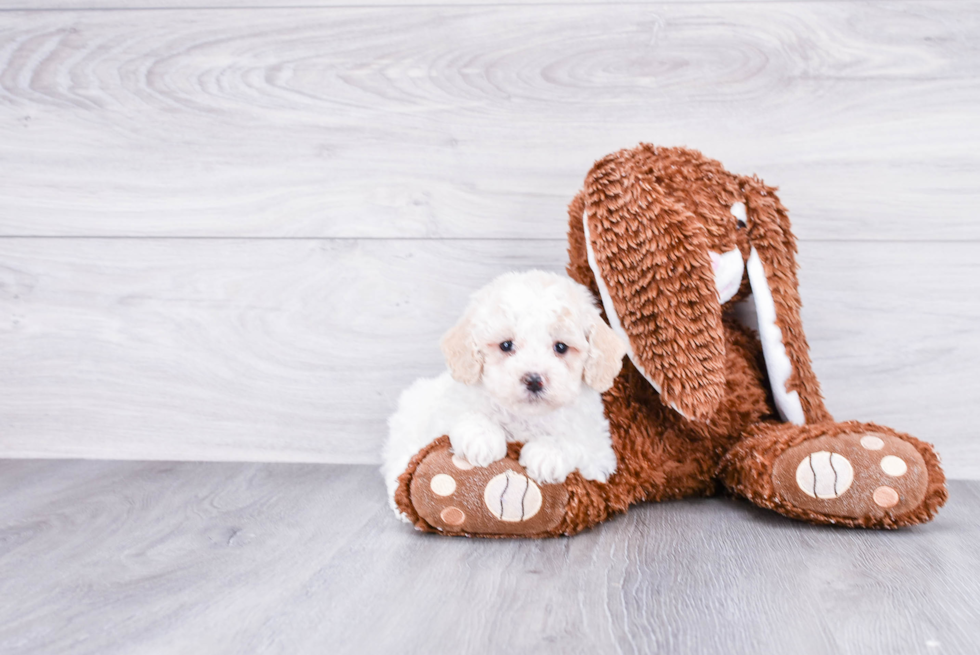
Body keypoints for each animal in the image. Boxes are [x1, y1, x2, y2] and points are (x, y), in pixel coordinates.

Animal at [382, 270, 628, 520]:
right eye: (506, 345)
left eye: (561, 347)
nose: (533, 380)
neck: (526, 417)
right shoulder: (449, 407)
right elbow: (465, 414)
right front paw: (482, 438)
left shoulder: (600, 451)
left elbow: (576, 441)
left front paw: (547, 453)